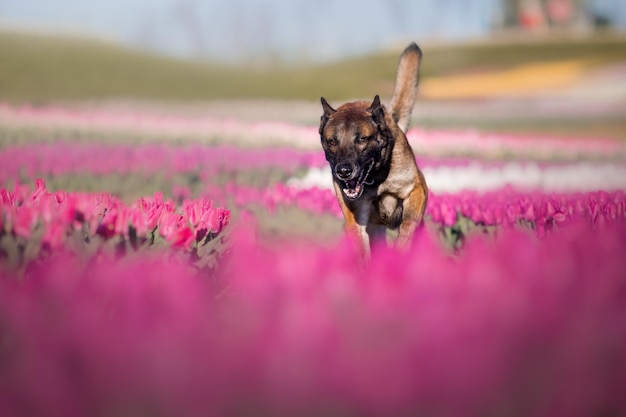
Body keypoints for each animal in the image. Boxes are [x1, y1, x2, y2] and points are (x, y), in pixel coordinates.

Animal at [320, 41, 426, 256]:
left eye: (361, 139)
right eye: (332, 142)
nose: (344, 171)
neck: (375, 180)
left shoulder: (416, 190)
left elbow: (408, 225)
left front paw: (400, 253)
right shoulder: (356, 221)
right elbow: (362, 251)